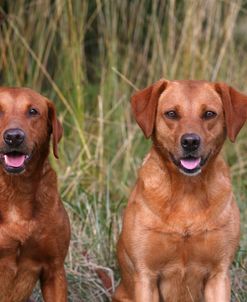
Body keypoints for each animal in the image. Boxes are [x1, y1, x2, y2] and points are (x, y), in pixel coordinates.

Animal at [113, 79, 246, 300]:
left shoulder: (218, 275)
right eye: (171, 114)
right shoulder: (146, 277)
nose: (190, 141)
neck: (187, 191)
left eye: (209, 114)